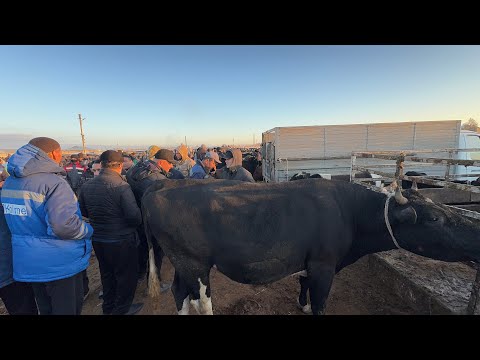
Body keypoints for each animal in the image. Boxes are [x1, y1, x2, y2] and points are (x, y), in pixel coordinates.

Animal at [141, 179, 480, 314]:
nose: (475, 235)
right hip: (195, 263)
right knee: (201, 301)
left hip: (182, 262)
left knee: (179, 292)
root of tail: (162, 186)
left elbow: (303, 287)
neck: (350, 212)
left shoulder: (310, 262)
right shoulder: (324, 265)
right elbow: (320, 301)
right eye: (435, 218)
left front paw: (301, 305)